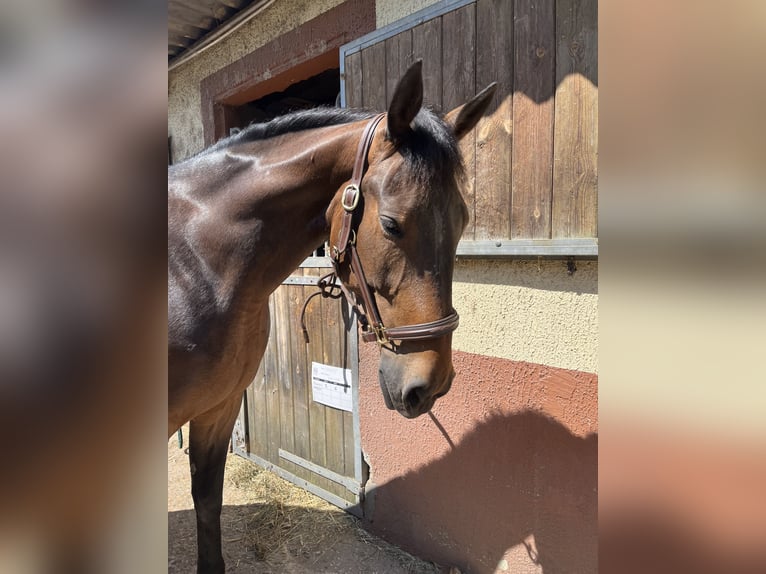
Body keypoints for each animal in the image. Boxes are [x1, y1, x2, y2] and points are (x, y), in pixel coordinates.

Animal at [168, 60, 498, 572]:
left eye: (463, 222)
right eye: (391, 224)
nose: (431, 384)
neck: (193, 261)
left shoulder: (218, 406)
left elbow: (206, 500)